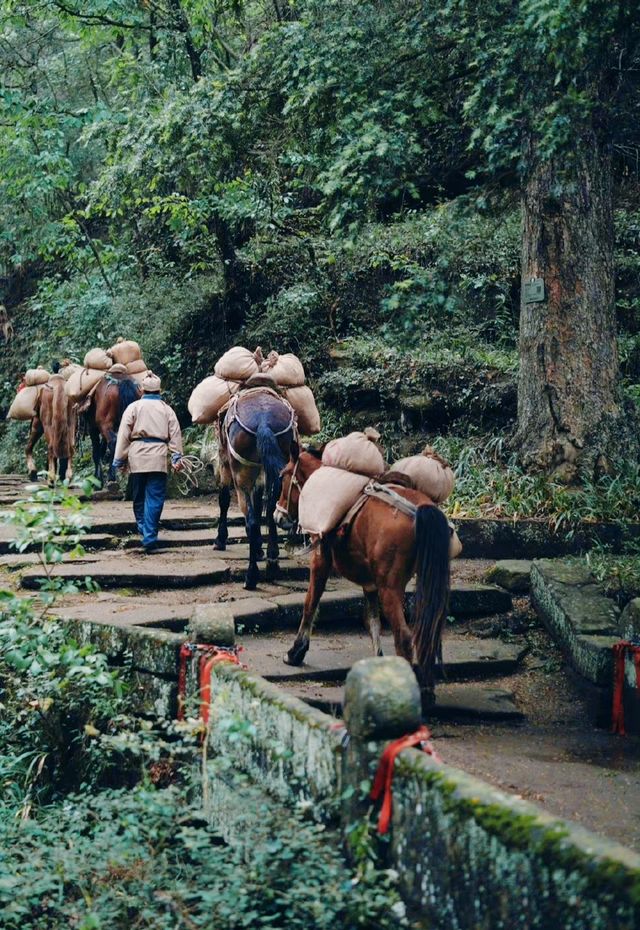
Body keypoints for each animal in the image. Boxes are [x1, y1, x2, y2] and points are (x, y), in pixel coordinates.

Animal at [214, 384, 296, 588]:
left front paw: (220, 540)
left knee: (250, 519)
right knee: (273, 510)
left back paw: (251, 577)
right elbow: (260, 506)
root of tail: (263, 421)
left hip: (241, 473)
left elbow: (224, 499)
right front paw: (260, 548)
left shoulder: (224, 462)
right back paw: (272, 564)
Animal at [274, 446, 450, 700]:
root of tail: (421, 511)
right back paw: (426, 688)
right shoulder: (370, 582)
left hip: (390, 588)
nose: (278, 517)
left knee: (404, 637)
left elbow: (310, 603)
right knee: (429, 631)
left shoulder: (321, 559)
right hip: (430, 583)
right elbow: (373, 621)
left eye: (284, 476)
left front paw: (295, 652)